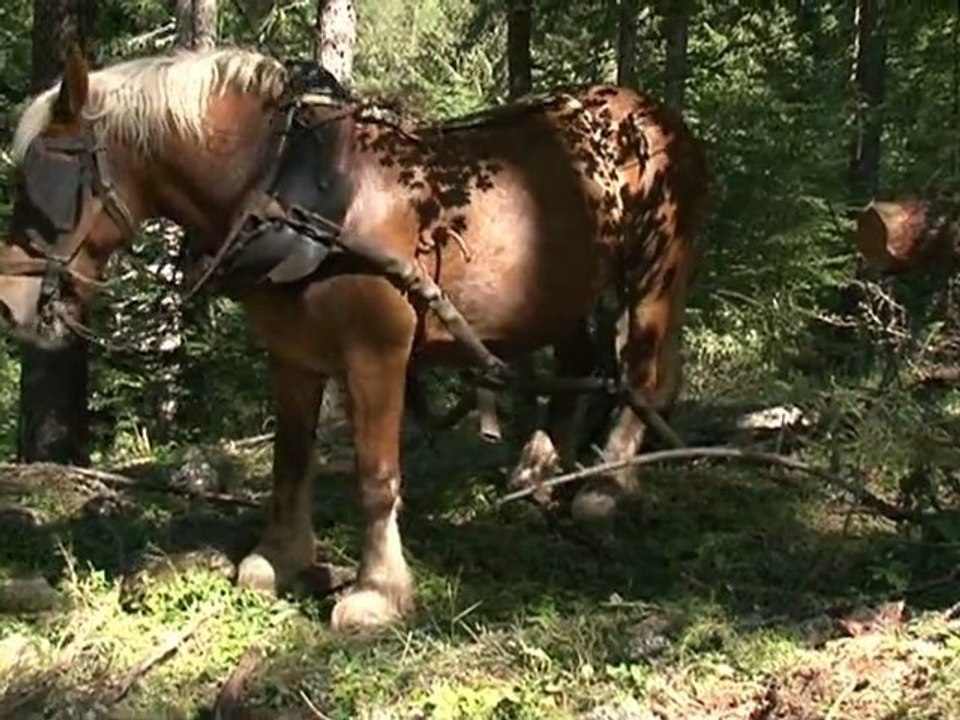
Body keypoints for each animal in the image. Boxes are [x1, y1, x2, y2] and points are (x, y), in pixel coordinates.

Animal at [0, 45, 708, 631]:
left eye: (46, 175)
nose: (10, 302)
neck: (292, 188)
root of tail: (661, 118)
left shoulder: (377, 353)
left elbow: (375, 475)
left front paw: (378, 592)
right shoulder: (291, 356)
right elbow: (290, 464)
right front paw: (278, 560)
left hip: (656, 270)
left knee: (642, 373)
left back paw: (606, 486)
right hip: (567, 290)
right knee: (581, 364)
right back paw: (536, 471)